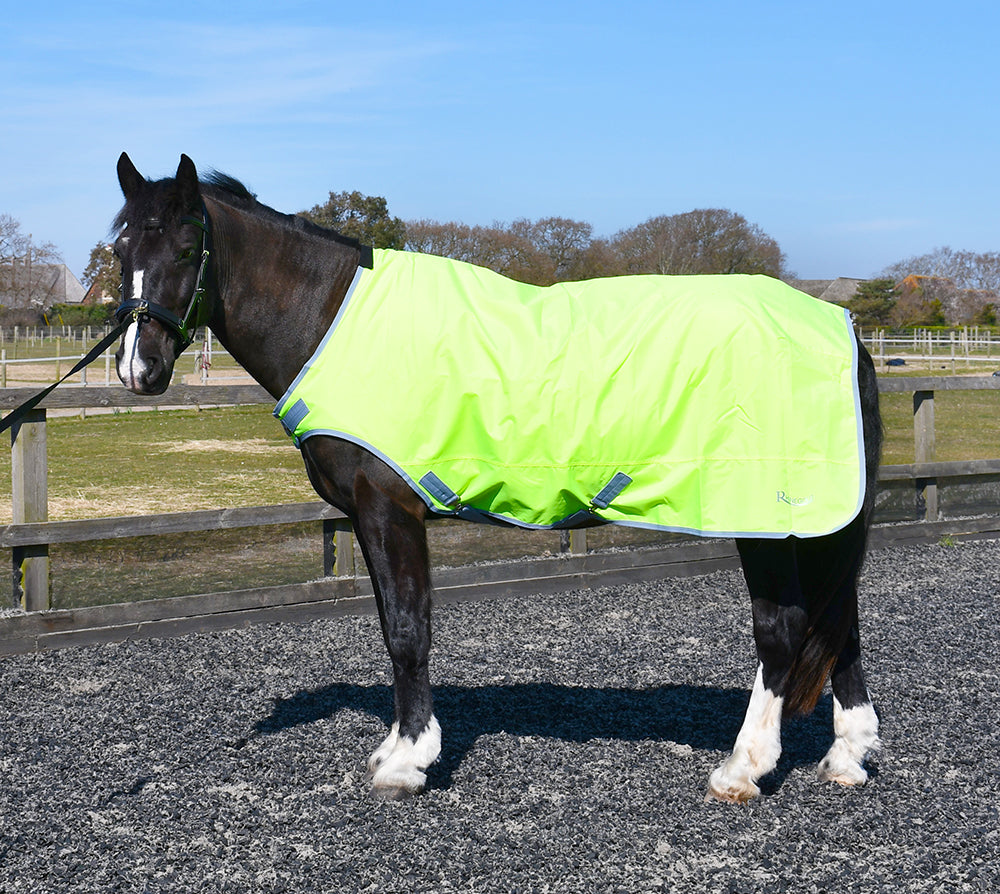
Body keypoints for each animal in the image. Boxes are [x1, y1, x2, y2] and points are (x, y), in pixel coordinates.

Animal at [111, 153, 883, 803]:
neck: (330, 318)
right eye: (121, 252)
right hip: (814, 523)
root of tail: (842, 328)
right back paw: (845, 757)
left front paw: (408, 761)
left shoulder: (387, 508)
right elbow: (394, 625)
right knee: (839, 621)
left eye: (185, 249)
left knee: (784, 629)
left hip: (763, 517)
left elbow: (406, 628)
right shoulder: (370, 516)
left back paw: (741, 768)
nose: (136, 368)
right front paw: (396, 746)